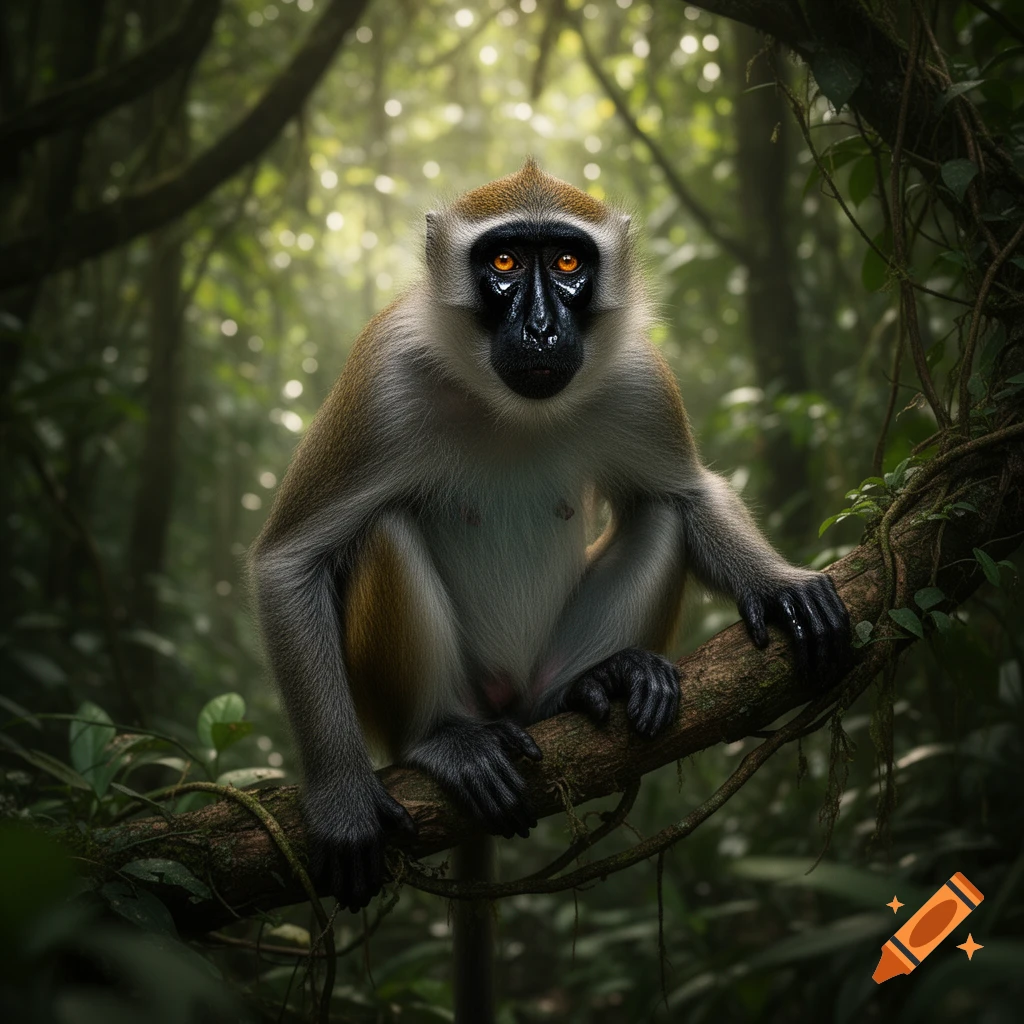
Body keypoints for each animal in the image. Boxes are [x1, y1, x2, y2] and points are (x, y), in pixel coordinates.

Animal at [249, 158, 850, 920]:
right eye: (504, 262)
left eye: (568, 262)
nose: (539, 328)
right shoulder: (382, 380)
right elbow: (289, 560)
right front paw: (341, 797)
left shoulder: (639, 380)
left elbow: (687, 495)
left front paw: (779, 587)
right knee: (384, 531)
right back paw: (440, 739)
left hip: (539, 673)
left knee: (659, 513)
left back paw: (589, 685)